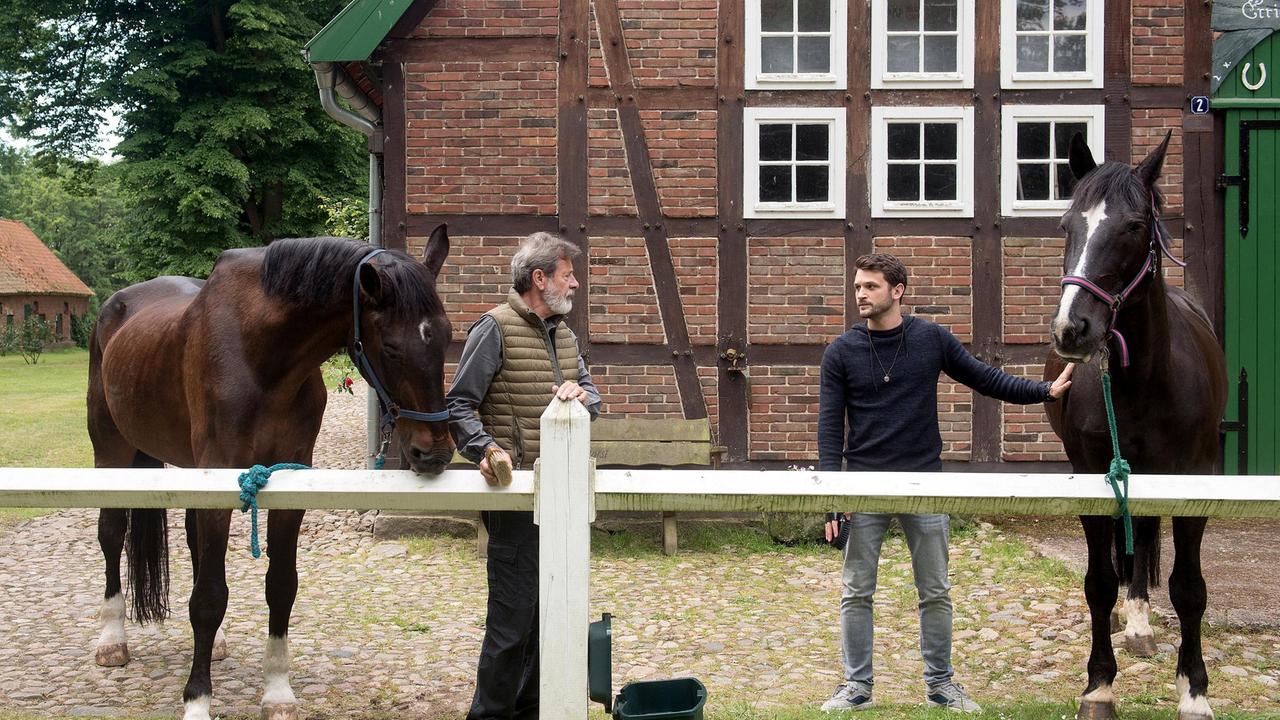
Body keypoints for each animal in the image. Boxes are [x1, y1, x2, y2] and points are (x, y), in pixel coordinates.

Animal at [86, 224, 455, 717]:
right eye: (393, 349)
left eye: (447, 336)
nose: (434, 453)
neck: (260, 357)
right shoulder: (219, 480)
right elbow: (209, 598)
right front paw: (197, 700)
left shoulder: (289, 482)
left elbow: (280, 586)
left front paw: (278, 690)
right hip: (111, 451)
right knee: (112, 534)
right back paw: (112, 640)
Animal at [1049, 135, 1228, 717]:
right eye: (1067, 224)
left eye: (1133, 226)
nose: (1073, 329)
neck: (1145, 380)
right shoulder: (1090, 475)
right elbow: (1100, 582)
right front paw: (1099, 685)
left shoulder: (1196, 479)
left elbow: (1189, 588)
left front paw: (1194, 690)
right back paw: (1134, 624)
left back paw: (1142, 627)